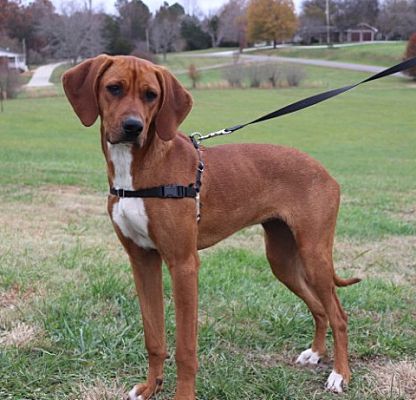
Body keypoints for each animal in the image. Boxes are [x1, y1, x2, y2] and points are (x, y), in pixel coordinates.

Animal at [63, 54, 360, 398]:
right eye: (113, 88)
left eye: (151, 95)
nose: (133, 127)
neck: (137, 170)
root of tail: (326, 173)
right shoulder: (142, 260)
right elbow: (154, 337)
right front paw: (151, 386)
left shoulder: (183, 265)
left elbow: (185, 348)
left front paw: (182, 395)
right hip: (282, 261)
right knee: (320, 308)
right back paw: (315, 353)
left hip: (314, 255)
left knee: (339, 315)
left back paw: (340, 374)